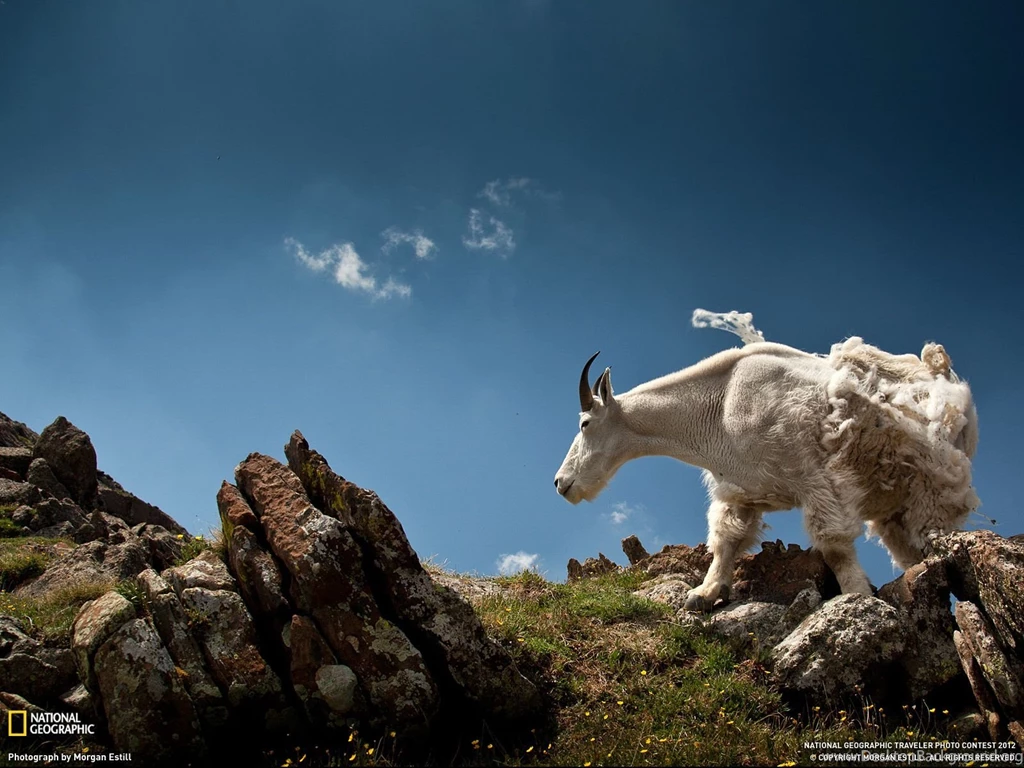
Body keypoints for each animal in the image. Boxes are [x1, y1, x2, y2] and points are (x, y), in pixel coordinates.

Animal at [553, 310, 979, 612]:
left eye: (585, 423)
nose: (561, 483)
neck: (719, 406)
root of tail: (946, 378)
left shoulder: (815, 478)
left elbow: (834, 544)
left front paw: (859, 597)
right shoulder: (740, 491)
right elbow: (726, 540)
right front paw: (704, 594)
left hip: (929, 488)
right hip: (891, 504)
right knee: (907, 551)